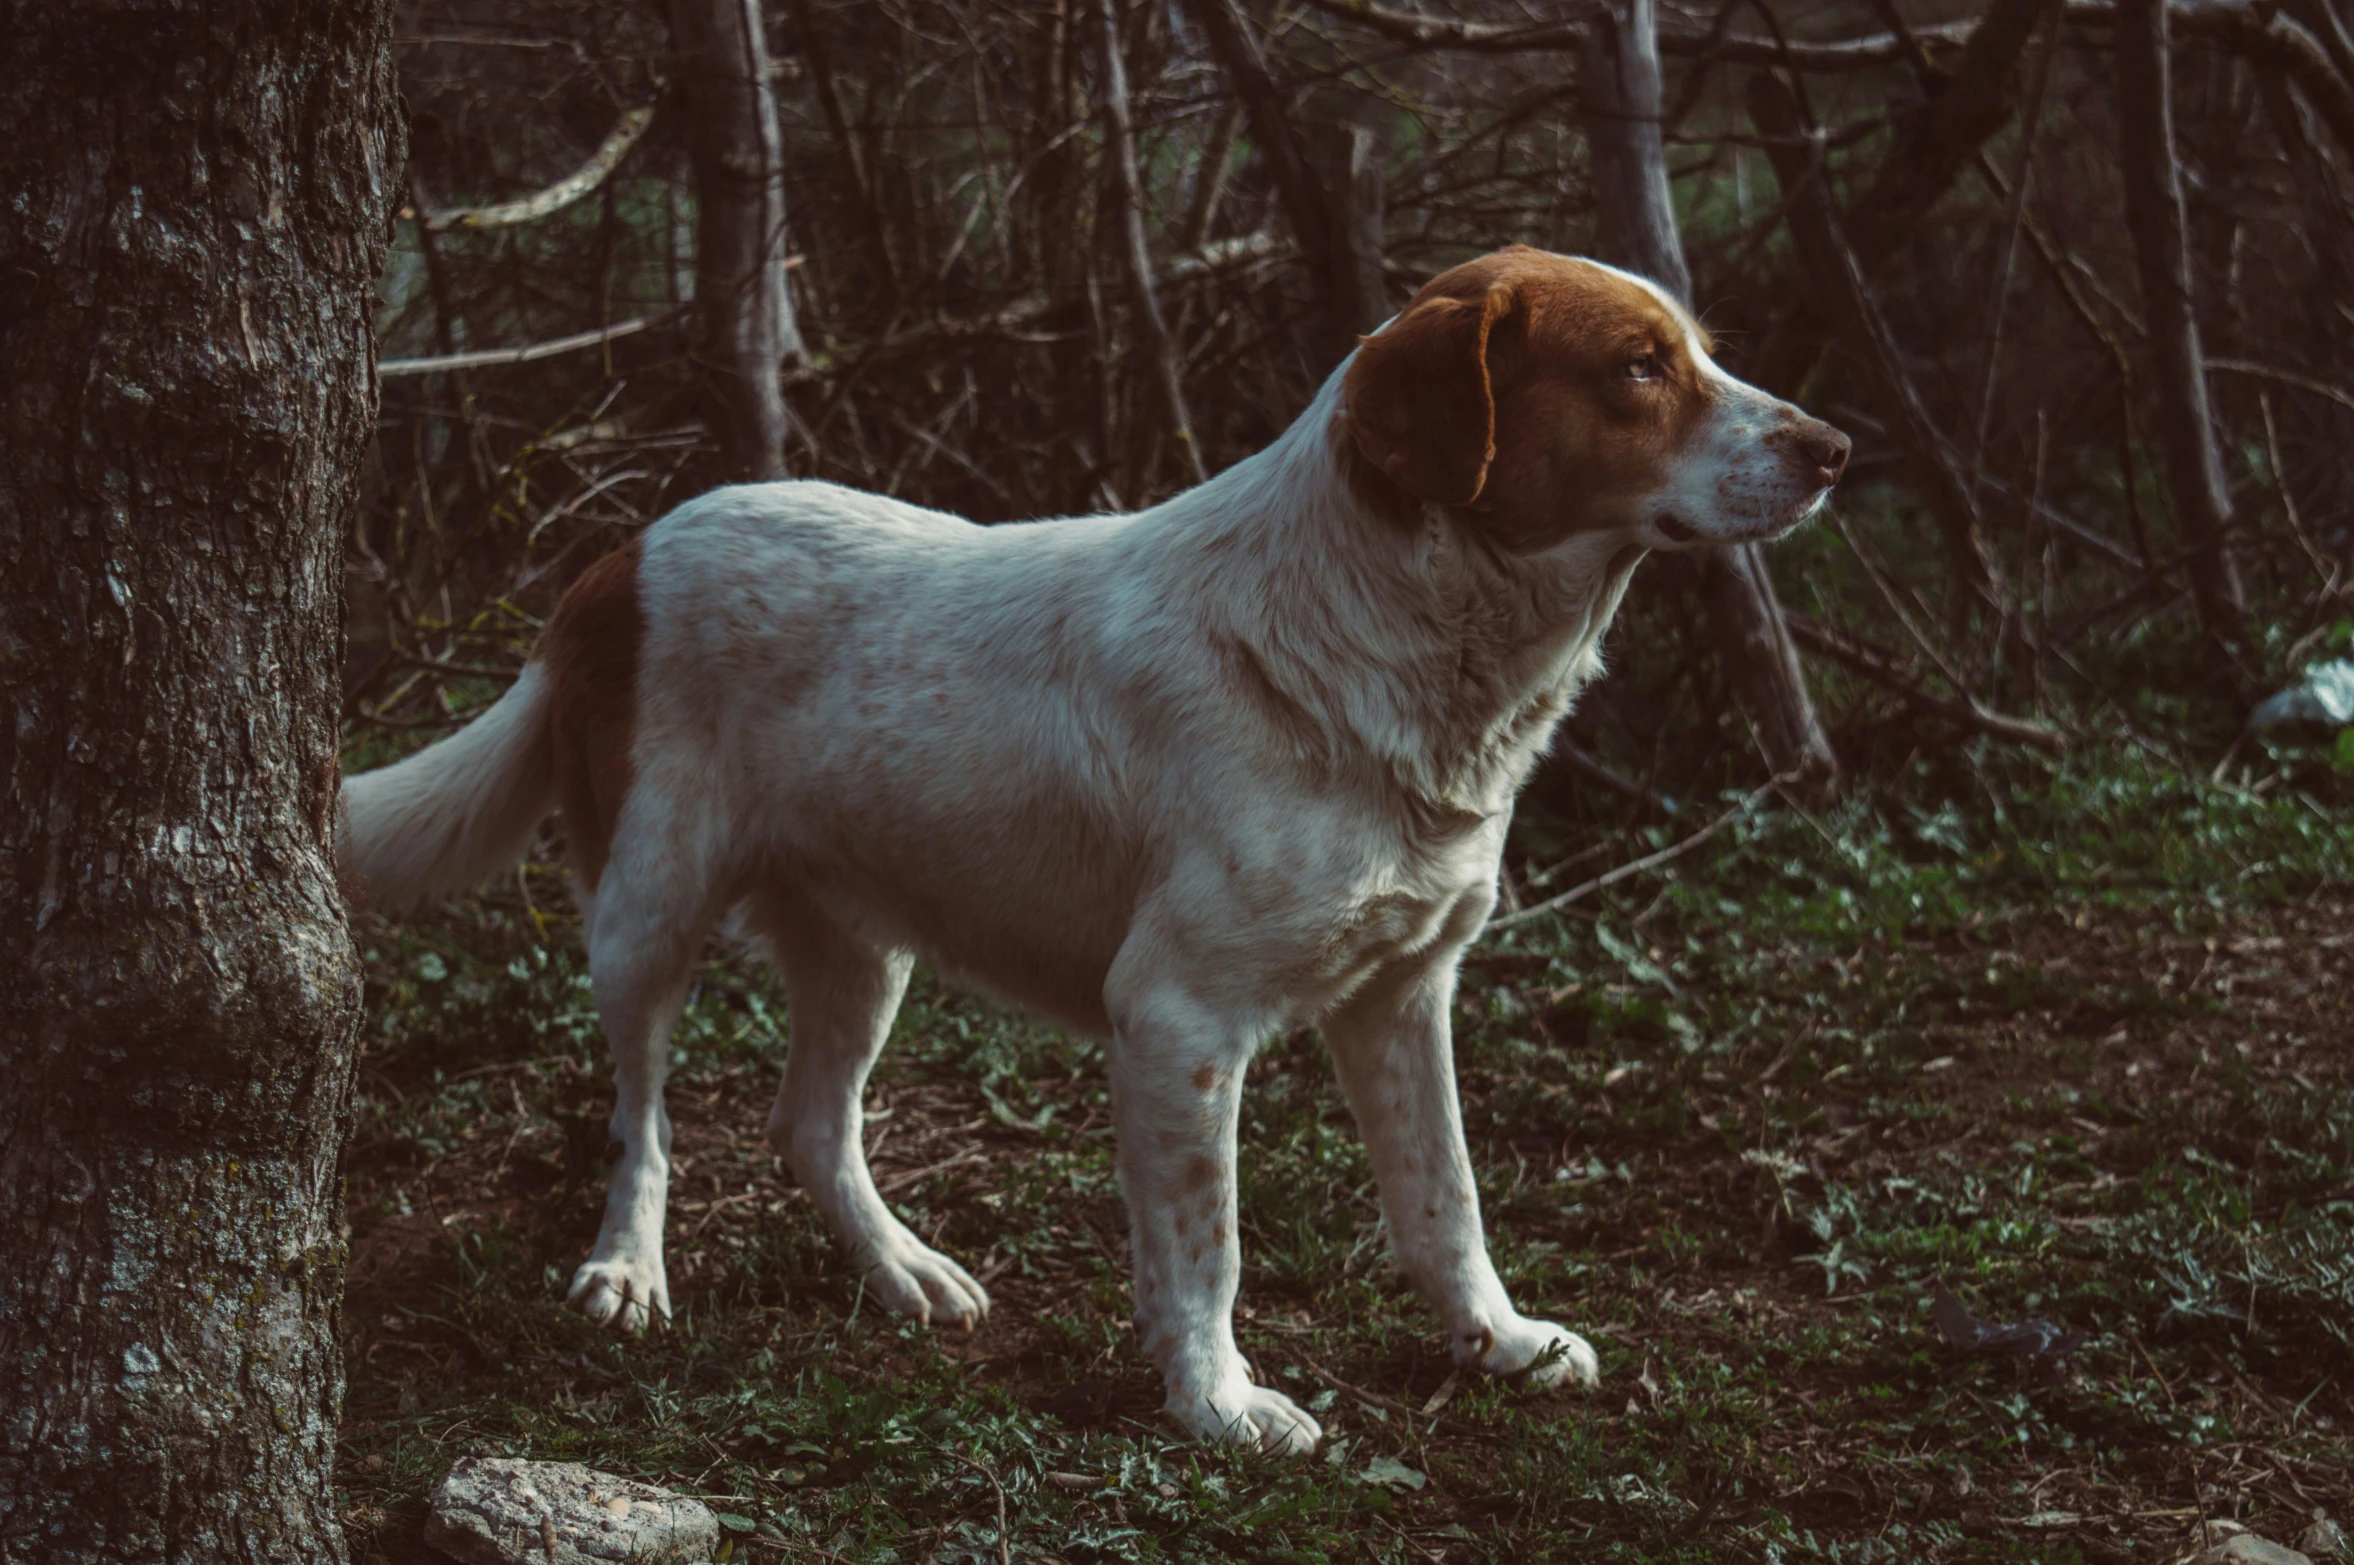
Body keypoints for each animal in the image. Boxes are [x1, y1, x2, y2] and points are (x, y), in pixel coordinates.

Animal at [341, 244, 1845, 1449]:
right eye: (1638, 367)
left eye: (1697, 349)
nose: (1832, 447)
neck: (1381, 637)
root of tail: (613, 562)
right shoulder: (1177, 1019)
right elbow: (1204, 1247)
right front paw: (1217, 1405)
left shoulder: (1402, 995)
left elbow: (1446, 1203)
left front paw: (1498, 1342)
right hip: (645, 916)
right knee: (642, 1119)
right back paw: (628, 1272)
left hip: (864, 944)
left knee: (808, 1123)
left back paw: (903, 1272)